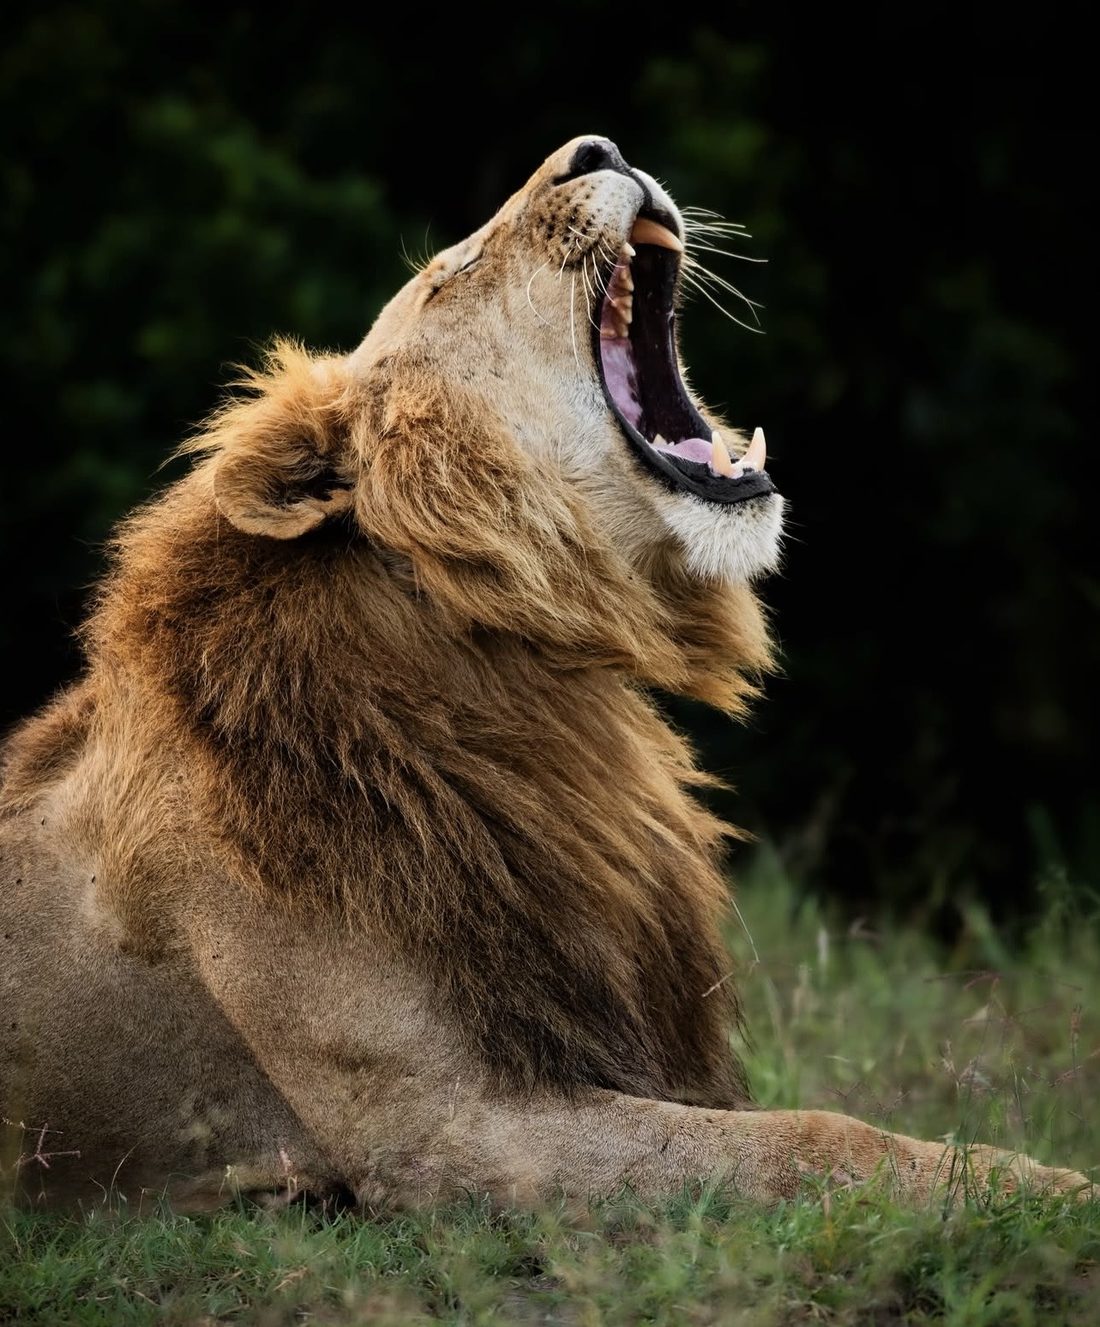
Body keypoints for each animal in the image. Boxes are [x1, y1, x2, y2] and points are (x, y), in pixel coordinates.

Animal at [0, 136, 1089, 1210]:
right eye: (451, 275)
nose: (599, 146)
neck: (523, 670)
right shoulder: (450, 1131)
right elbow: (807, 1139)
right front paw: (1042, 1187)